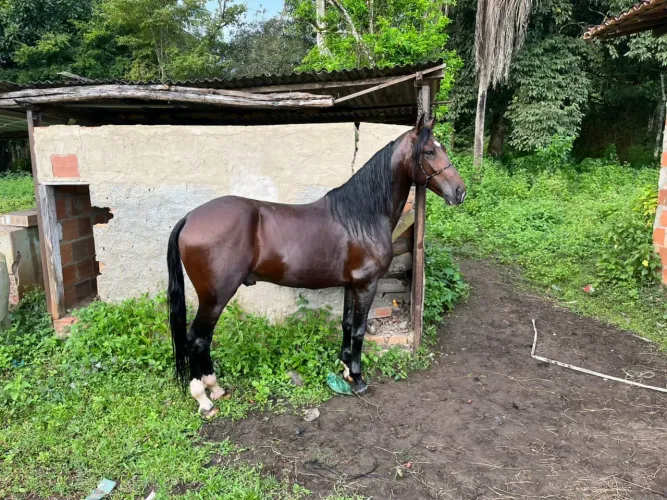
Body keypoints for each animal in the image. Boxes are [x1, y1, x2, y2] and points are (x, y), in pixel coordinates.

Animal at [167, 115, 466, 416]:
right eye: (429, 151)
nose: (460, 191)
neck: (362, 216)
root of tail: (190, 217)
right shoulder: (366, 285)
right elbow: (359, 331)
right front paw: (358, 379)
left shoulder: (351, 285)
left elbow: (347, 324)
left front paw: (345, 369)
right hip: (215, 297)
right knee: (196, 339)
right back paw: (204, 399)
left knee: (203, 339)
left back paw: (215, 388)